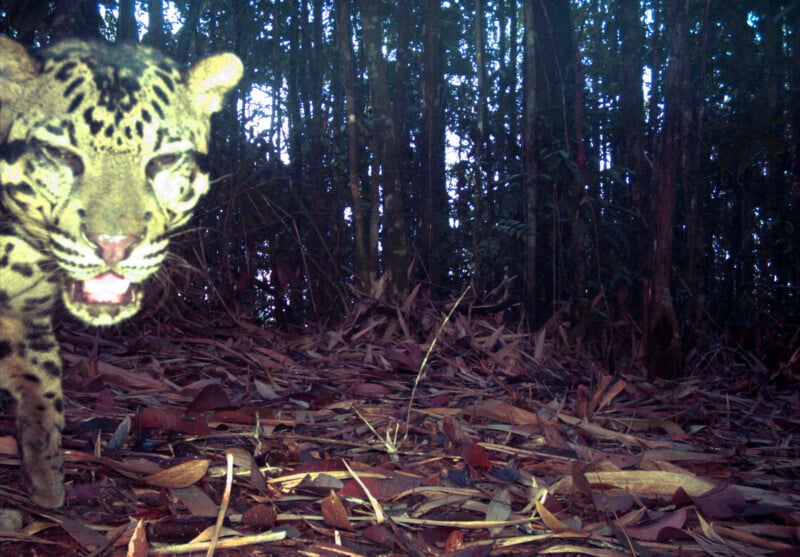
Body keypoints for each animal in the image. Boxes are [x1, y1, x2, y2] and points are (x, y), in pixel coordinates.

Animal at [0, 36, 242, 509]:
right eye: (60, 154)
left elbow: (44, 386)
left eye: (164, 160)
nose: (114, 244)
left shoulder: (26, 315)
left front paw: (46, 480)